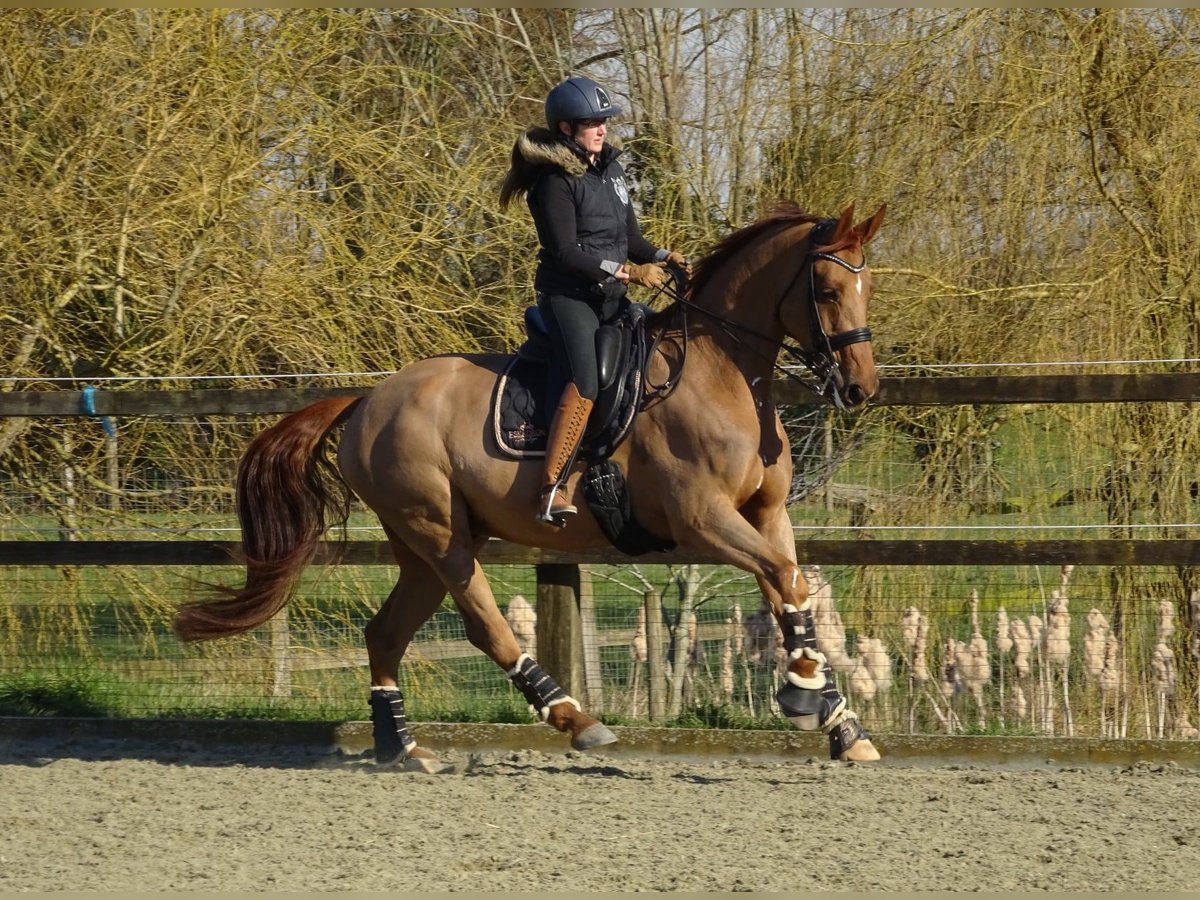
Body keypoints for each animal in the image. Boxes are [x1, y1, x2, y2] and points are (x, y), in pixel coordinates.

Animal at [177, 200, 892, 772]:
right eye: (828, 289)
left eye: (867, 289)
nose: (862, 388)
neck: (723, 372)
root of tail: (366, 402)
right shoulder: (703, 519)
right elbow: (785, 579)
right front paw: (802, 691)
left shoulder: (766, 515)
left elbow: (790, 588)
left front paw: (836, 719)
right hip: (441, 535)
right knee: (486, 629)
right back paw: (574, 718)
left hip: (423, 546)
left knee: (384, 634)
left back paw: (400, 749)